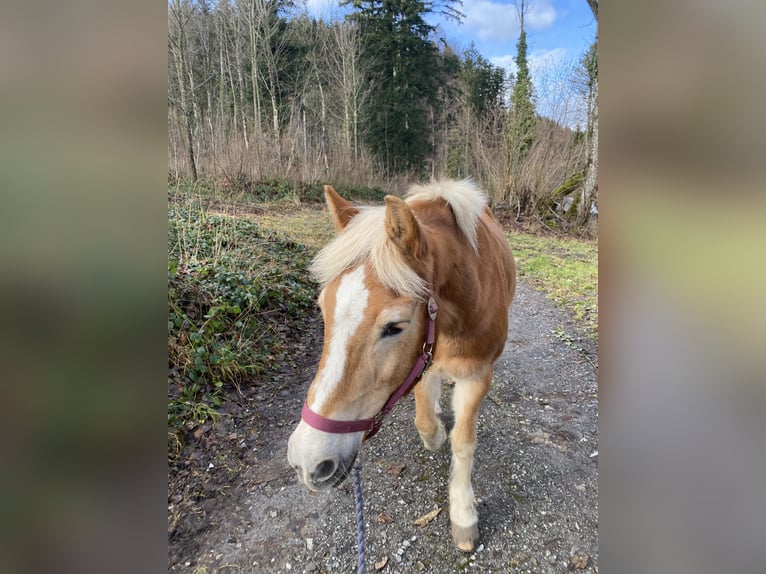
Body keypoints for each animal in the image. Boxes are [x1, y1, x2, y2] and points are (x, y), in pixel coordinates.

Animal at [286, 180, 516, 552]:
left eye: (395, 327)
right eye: (322, 309)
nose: (306, 460)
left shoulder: (477, 374)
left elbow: (463, 441)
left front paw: (463, 513)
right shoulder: (423, 364)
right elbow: (424, 420)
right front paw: (435, 434)